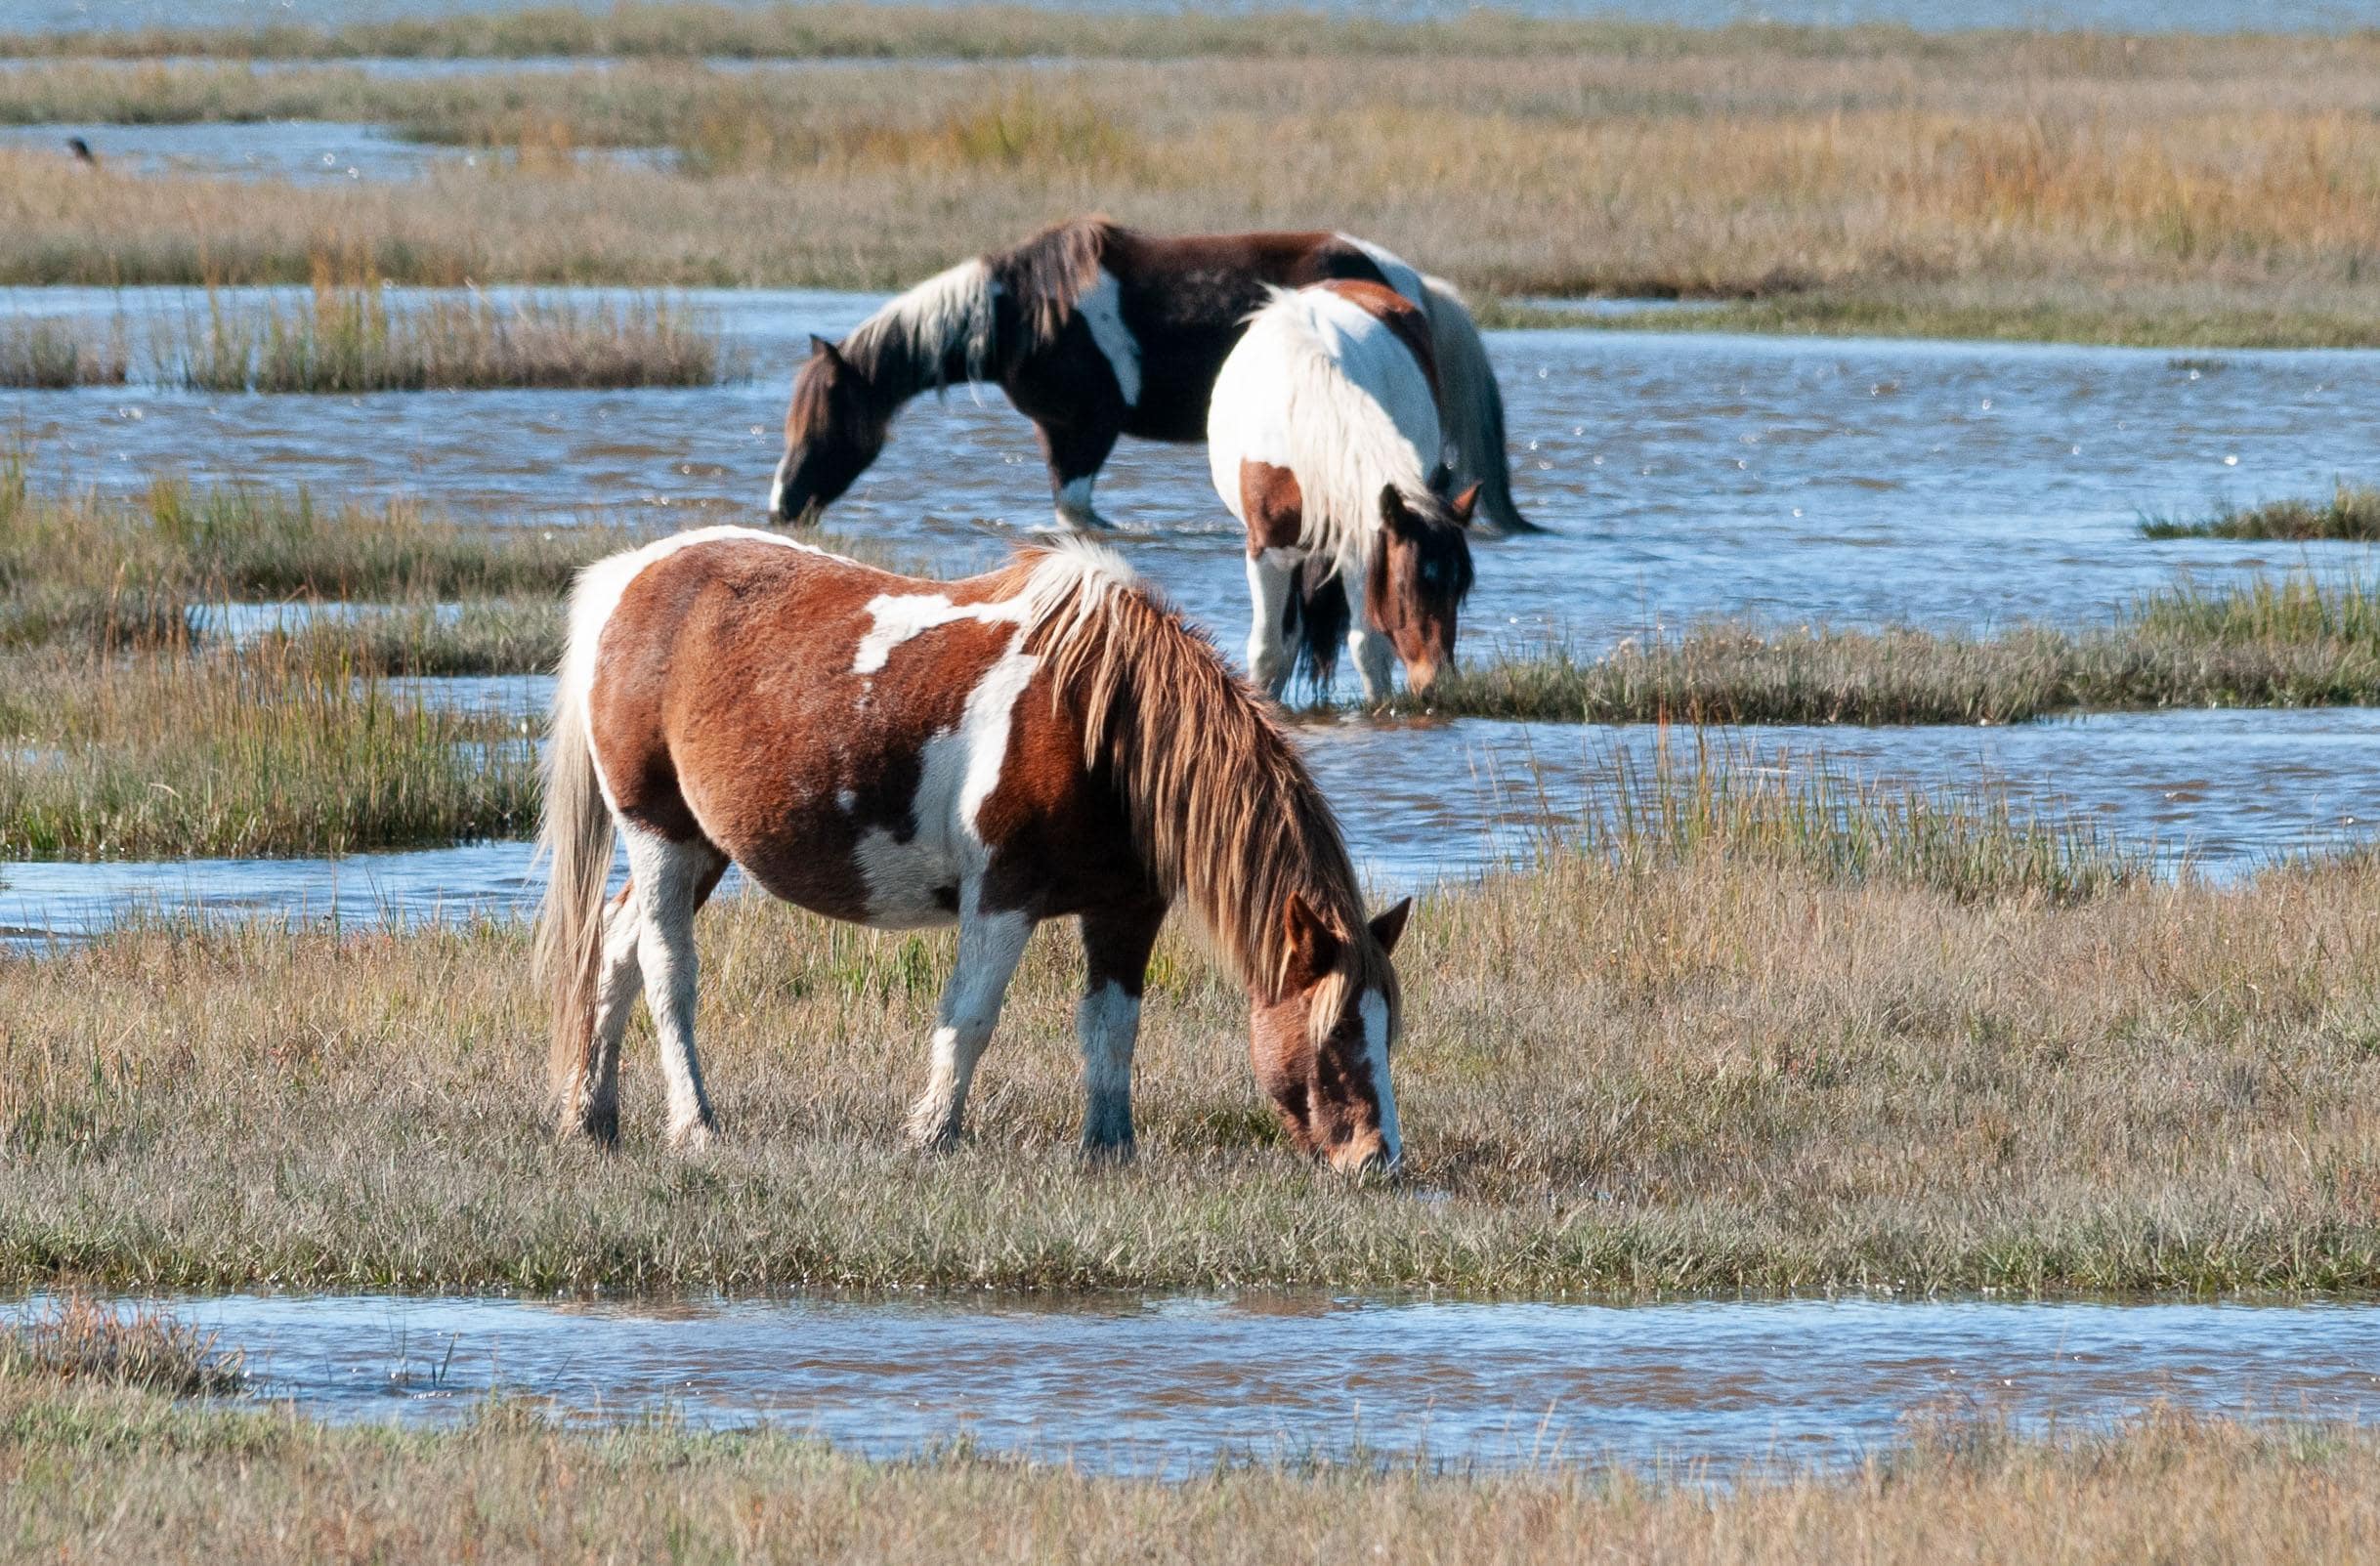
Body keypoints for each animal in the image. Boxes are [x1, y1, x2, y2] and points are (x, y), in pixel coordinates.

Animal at [535, 525, 1412, 1173]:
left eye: (1387, 1029)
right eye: (1335, 1031)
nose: (1378, 1158)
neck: (1101, 721)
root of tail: (631, 577)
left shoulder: (1127, 909)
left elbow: (1112, 1028)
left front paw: (1110, 1149)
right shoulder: (1004, 895)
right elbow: (971, 1018)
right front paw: (933, 1134)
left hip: (707, 845)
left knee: (614, 946)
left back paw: (593, 1117)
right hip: (660, 834)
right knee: (666, 971)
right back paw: (696, 1125)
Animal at [769, 215, 1532, 536]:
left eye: (826, 423)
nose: (781, 505)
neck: (1026, 313)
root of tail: (1406, 282)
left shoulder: (1089, 429)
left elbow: (1080, 511)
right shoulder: (1056, 433)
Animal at [1209, 280, 1477, 703]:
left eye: (1460, 587)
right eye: (1405, 585)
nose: (1436, 682)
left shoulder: (1362, 548)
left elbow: (1368, 649)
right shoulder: (1267, 550)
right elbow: (1269, 652)